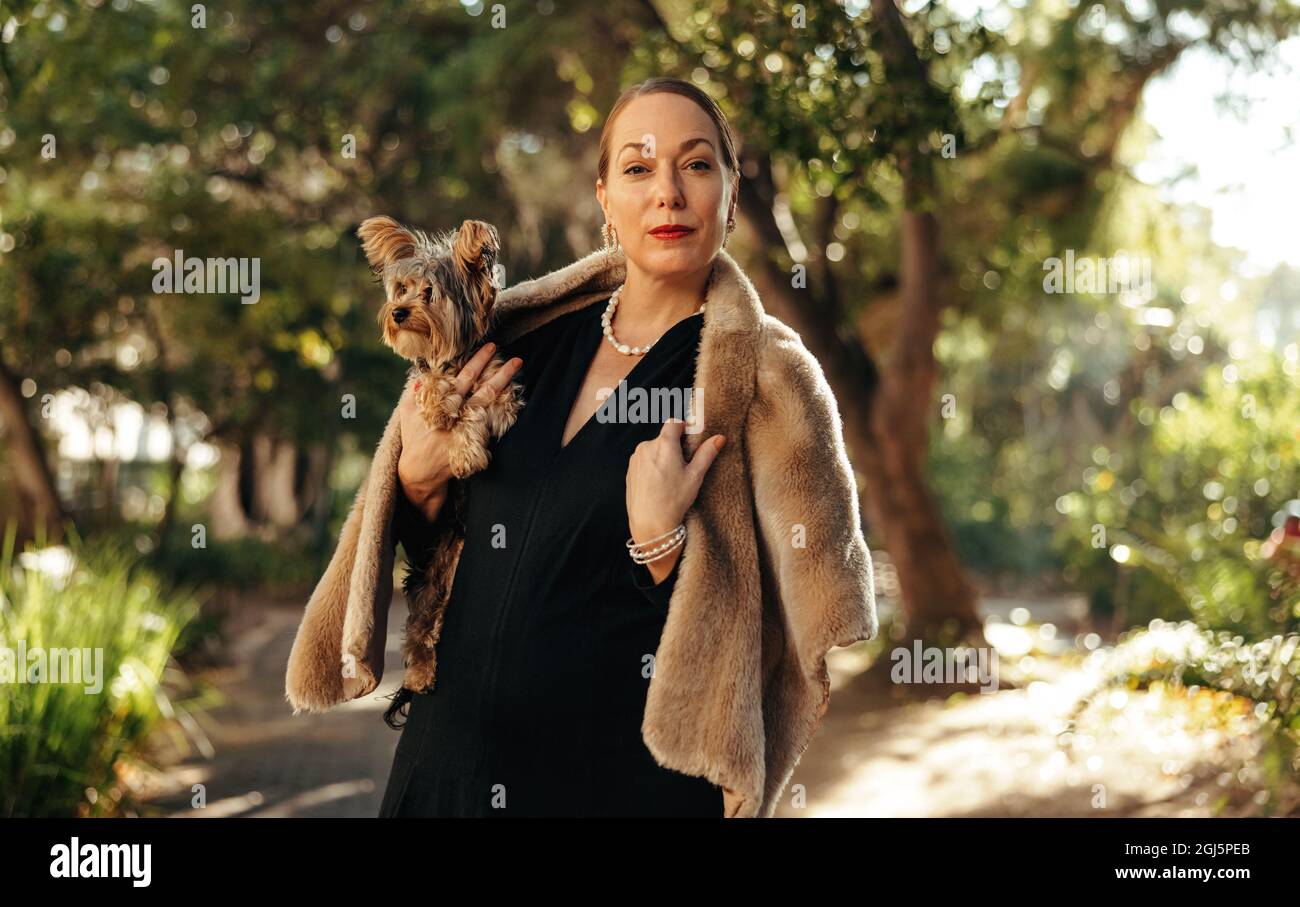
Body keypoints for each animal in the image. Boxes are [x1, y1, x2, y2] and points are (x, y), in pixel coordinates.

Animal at [356, 210, 522, 722]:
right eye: (401, 289)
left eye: (430, 292)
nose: (398, 313)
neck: (450, 359)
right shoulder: (422, 387)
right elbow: (434, 393)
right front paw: (449, 414)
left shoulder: (499, 385)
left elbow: (481, 409)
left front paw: (468, 449)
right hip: (429, 583)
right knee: (419, 630)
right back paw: (419, 674)